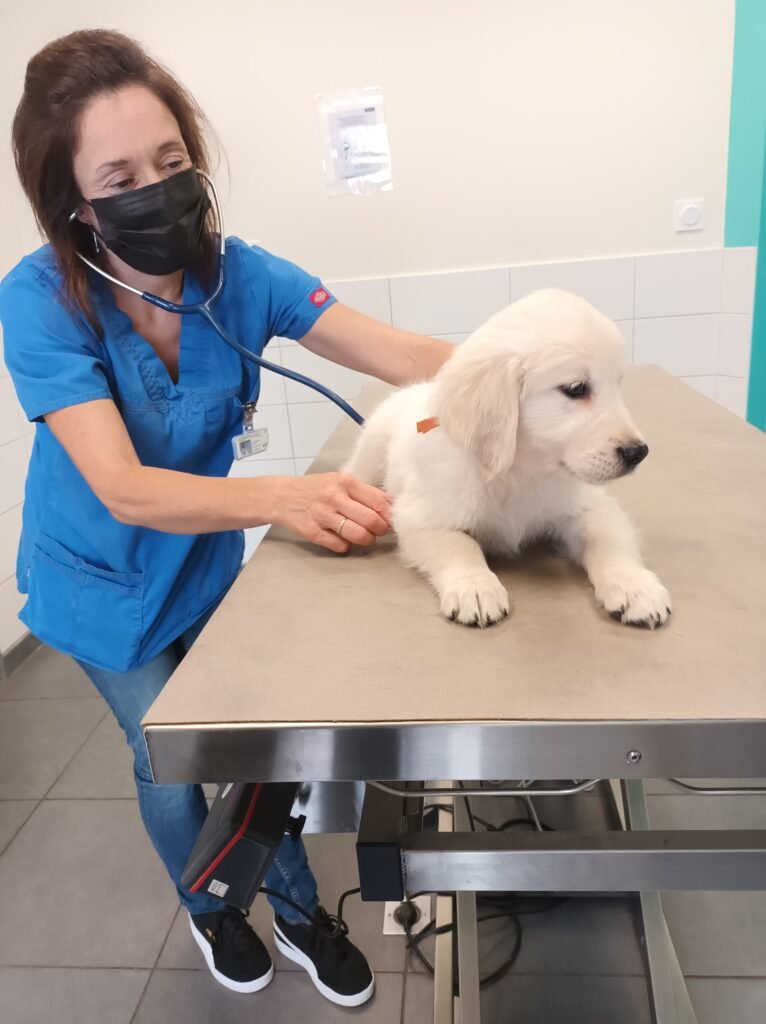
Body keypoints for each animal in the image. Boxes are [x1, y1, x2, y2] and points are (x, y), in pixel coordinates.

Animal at [346, 286, 671, 622]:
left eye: (617, 384)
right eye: (576, 388)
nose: (638, 452)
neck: (521, 470)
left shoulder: (590, 504)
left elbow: (606, 539)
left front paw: (635, 587)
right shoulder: (420, 516)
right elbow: (458, 545)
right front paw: (475, 587)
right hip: (371, 450)